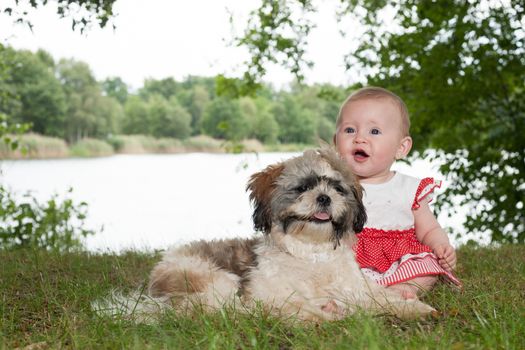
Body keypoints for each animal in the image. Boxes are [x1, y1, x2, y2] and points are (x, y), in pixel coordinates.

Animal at [143, 147, 434, 320]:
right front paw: (326, 315)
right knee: (213, 309)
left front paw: (414, 307)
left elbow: (379, 297)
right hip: (216, 279)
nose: (324, 198)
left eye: (337, 188)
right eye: (303, 187)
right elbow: (299, 307)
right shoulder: (270, 294)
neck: (312, 254)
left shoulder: (356, 288)